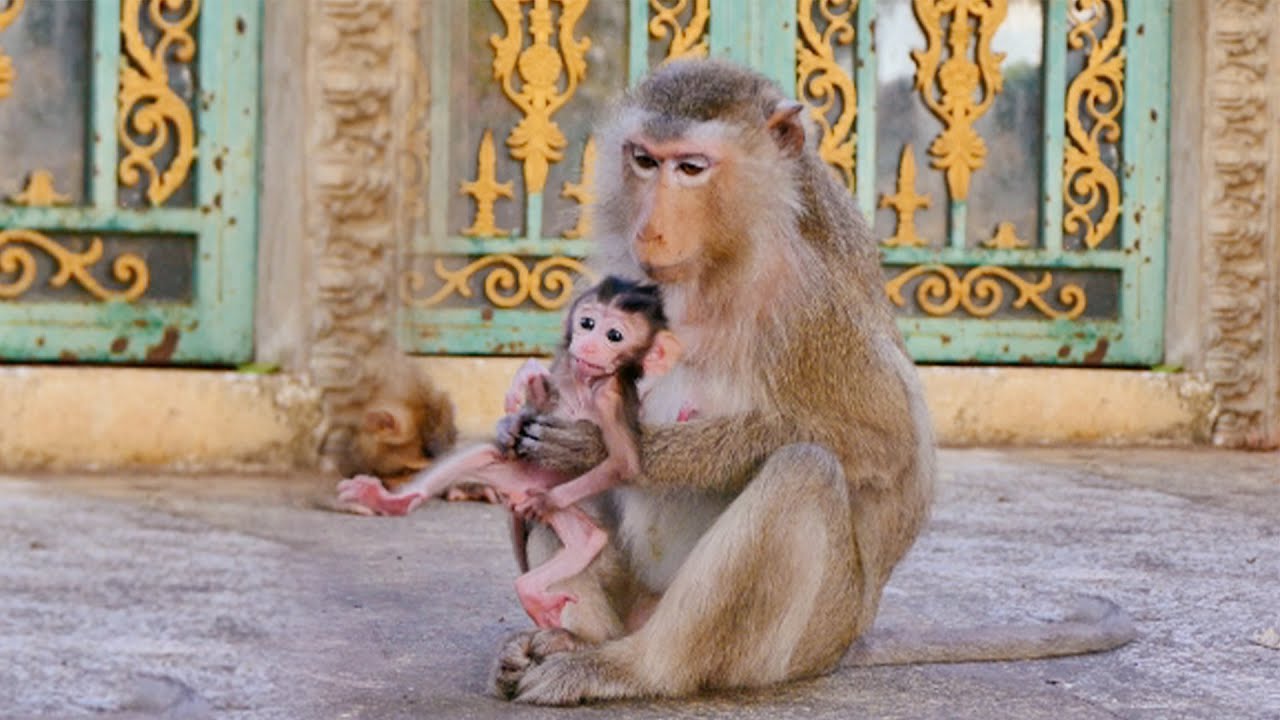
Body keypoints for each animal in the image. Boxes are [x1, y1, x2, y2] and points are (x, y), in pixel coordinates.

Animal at [337, 276, 682, 630]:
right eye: (587, 323)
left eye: (614, 335)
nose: (587, 345)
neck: (583, 383)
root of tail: (520, 487)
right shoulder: (565, 370)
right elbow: (536, 401)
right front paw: (524, 389)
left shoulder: (610, 400)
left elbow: (624, 463)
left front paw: (549, 497)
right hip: (513, 473)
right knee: (480, 456)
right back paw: (392, 500)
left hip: (557, 496)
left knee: (586, 539)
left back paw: (535, 582)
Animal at [488, 59, 1134, 705]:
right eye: (645, 160)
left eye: (691, 168)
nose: (650, 230)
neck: (720, 267)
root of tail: (847, 641)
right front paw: (521, 413)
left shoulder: (812, 304)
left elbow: (889, 445)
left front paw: (606, 447)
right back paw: (572, 638)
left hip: (799, 639)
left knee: (804, 471)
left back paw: (633, 668)